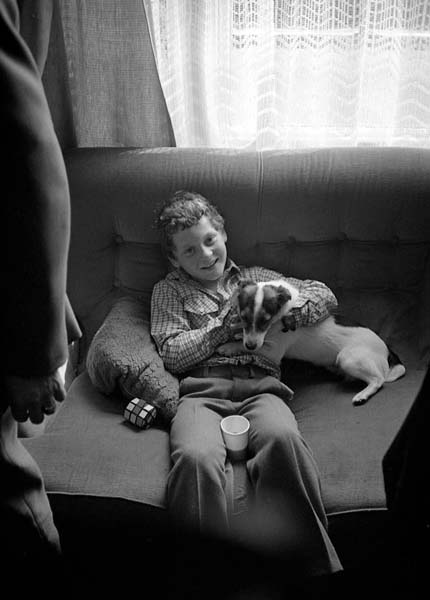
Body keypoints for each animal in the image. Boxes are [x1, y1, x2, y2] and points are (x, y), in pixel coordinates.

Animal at [220, 278, 404, 406]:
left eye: (266, 320)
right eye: (244, 317)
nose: (250, 344)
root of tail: (387, 349)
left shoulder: (273, 352)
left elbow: (245, 347)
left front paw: (228, 347)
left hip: (347, 358)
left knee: (378, 380)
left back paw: (362, 395)